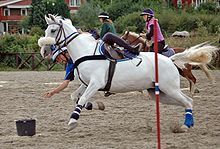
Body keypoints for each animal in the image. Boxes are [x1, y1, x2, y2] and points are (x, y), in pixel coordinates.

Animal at [39, 14, 217, 132]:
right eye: (47, 30)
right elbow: (76, 97)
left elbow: (81, 99)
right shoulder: (86, 84)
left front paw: (72, 122)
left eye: (53, 30)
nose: (44, 51)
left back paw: (186, 124)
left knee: (188, 99)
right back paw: (187, 123)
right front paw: (96, 105)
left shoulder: (95, 83)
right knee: (186, 101)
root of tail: (170, 59)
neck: (86, 51)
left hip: (170, 88)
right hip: (159, 93)